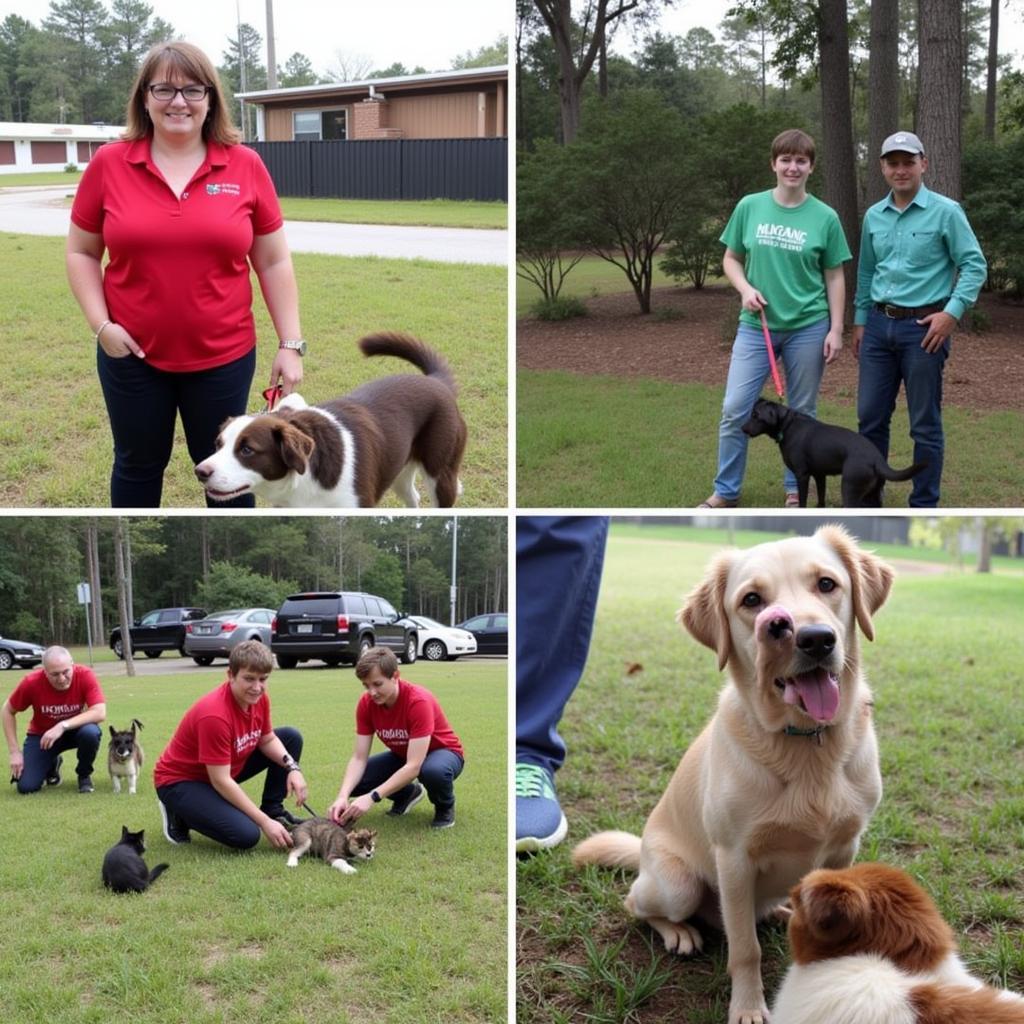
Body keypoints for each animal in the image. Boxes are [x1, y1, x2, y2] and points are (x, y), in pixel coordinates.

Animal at [573, 528, 892, 1024]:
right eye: (752, 600)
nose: (815, 640)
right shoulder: (735, 859)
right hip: (678, 885)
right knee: (635, 903)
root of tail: (643, 852)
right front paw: (748, 1007)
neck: (804, 743)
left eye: (827, 584)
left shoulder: (845, 848)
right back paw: (679, 932)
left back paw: (782, 911)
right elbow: (746, 949)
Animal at [745, 395, 929, 507]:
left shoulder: (802, 475)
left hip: (849, 489)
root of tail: (877, 458)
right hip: (873, 494)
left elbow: (803, 501)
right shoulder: (819, 475)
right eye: (751, 413)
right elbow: (821, 498)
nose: (742, 428)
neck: (787, 425)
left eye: (756, 416)